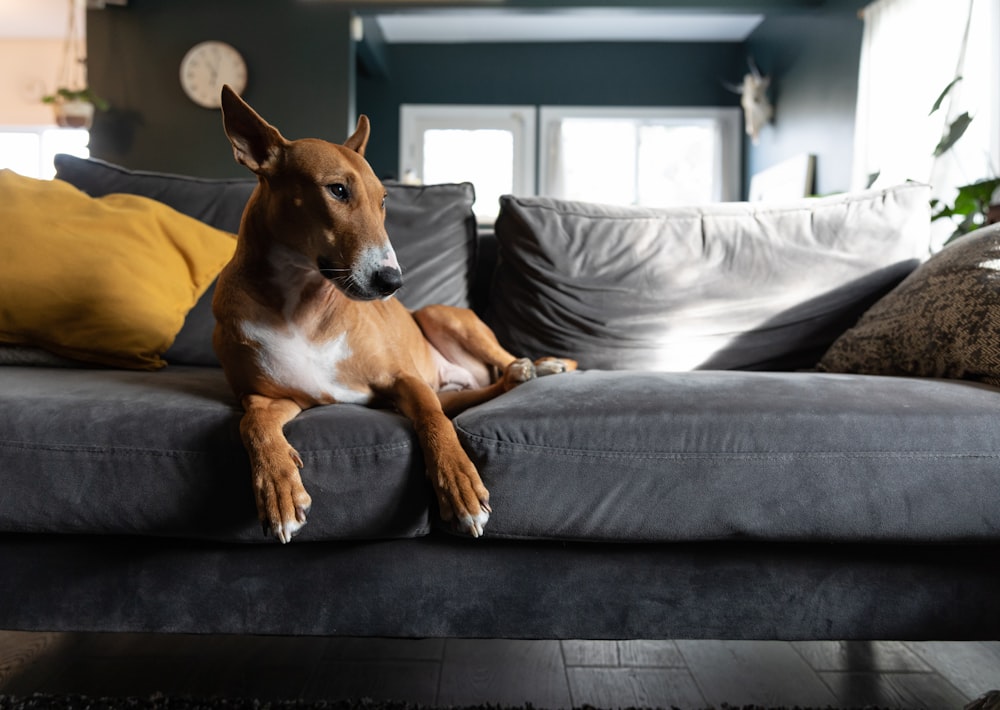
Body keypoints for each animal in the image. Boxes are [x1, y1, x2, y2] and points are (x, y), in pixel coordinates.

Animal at [215, 87, 576, 544]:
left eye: (384, 200)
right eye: (337, 190)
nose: (392, 281)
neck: (302, 305)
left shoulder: (404, 379)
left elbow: (435, 422)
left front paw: (460, 484)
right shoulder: (271, 397)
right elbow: (253, 426)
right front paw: (278, 490)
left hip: (443, 317)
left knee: (496, 365)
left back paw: (542, 366)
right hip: (452, 382)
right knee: (482, 390)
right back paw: (521, 375)